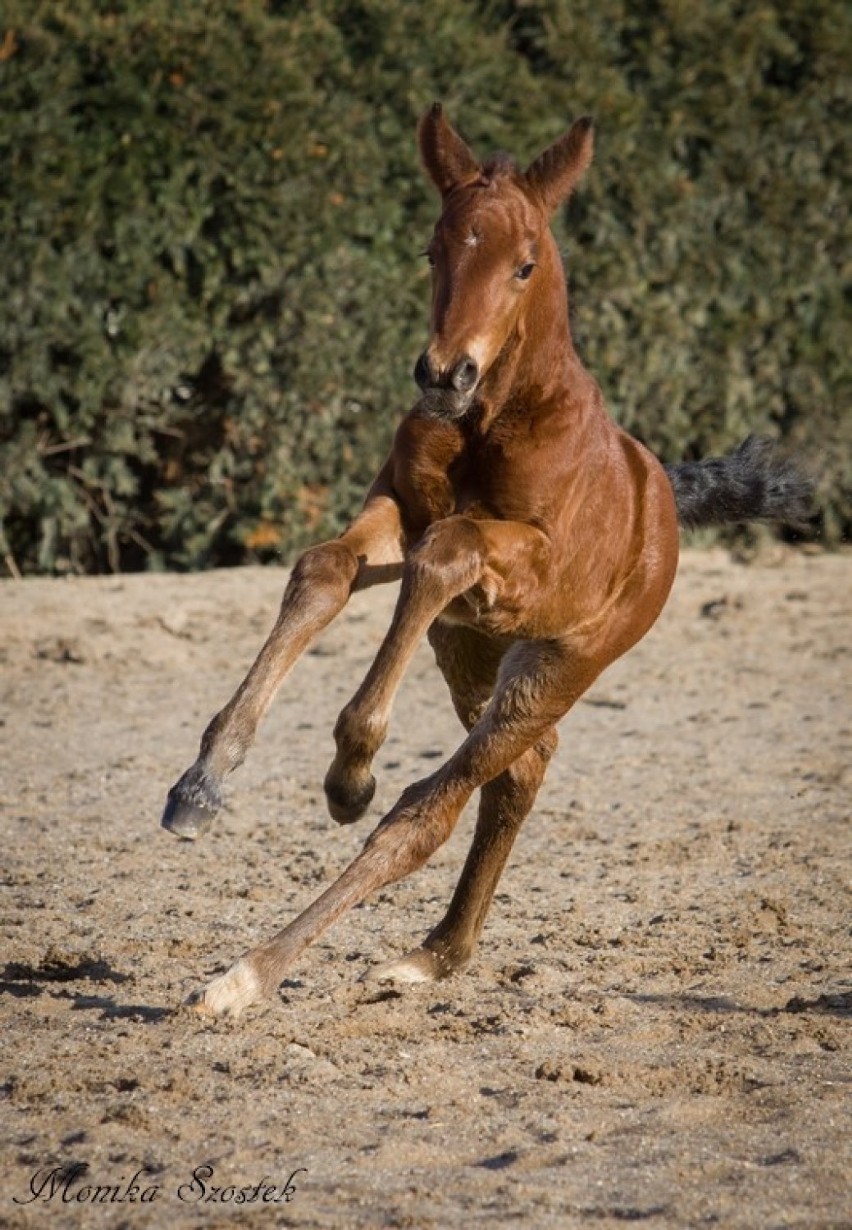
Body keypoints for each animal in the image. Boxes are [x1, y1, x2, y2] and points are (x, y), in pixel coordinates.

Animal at [161, 105, 811, 1013]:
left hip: (557, 666)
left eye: (524, 265)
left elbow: (446, 552)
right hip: (472, 654)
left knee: (428, 812)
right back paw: (437, 952)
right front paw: (204, 783)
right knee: (520, 772)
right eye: (435, 251)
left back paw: (252, 973)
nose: (444, 374)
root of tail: (663, 497)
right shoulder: (398, 509)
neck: (492, 418)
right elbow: (325, 569)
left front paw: (352, 764)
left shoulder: (522, 556)